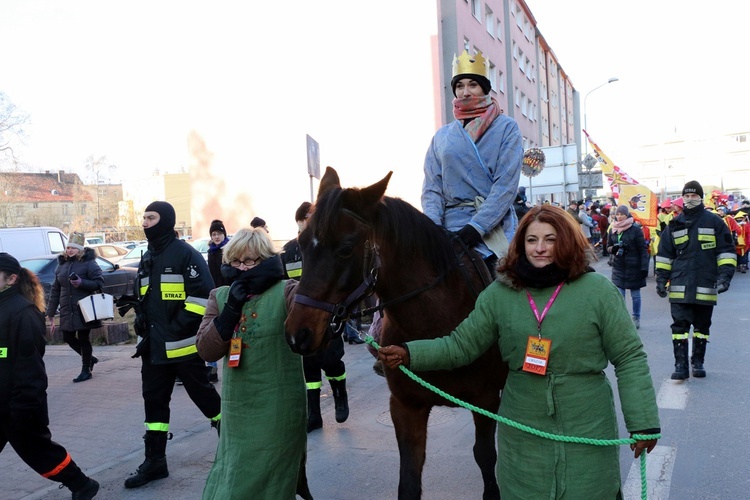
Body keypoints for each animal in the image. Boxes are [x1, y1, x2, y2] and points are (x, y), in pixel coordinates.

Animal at [286, 166, 512, 498]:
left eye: (346, 249)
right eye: (301, 243)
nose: (297, 333)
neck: (436, 331)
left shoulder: (485, 401)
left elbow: (485, 457)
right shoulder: (406, 406)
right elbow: (408, 481)